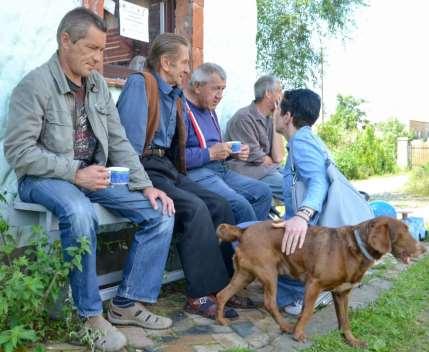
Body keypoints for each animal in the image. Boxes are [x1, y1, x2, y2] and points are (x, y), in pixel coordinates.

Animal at [216, 216, 422, 348]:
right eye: (403, 232)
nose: (424, 249)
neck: (357, 247)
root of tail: (243, 230)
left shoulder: (342, 293)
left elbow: (345, 320)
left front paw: (351, 340)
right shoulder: (313, 284)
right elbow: (307, 312)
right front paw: (298, 334)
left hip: (244, 275)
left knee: (221, 294)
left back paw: (221, 320)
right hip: (268, 273)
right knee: (269, 303)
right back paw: (286, 327)